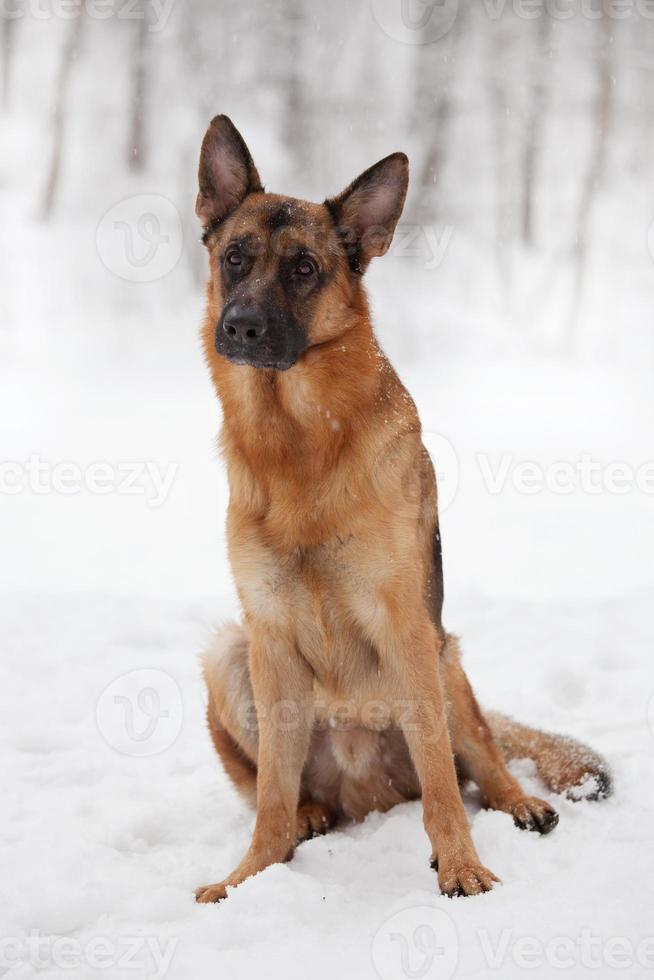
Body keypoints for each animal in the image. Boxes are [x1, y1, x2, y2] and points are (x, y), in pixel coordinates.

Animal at [193, 117, 608, 904]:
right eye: (235, 258)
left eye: (303, 269)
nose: (242, 328)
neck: (299, 446)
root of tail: (366, 799)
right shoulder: (267, 638)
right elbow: (269, 801)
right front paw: (251, 876)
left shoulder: (407, 627)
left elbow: (445, 786)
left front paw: (463, 867)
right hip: (227, 655)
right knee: (281, 789)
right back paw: (310, 819)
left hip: (444, 663)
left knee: (476, 763)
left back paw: (520, 804)